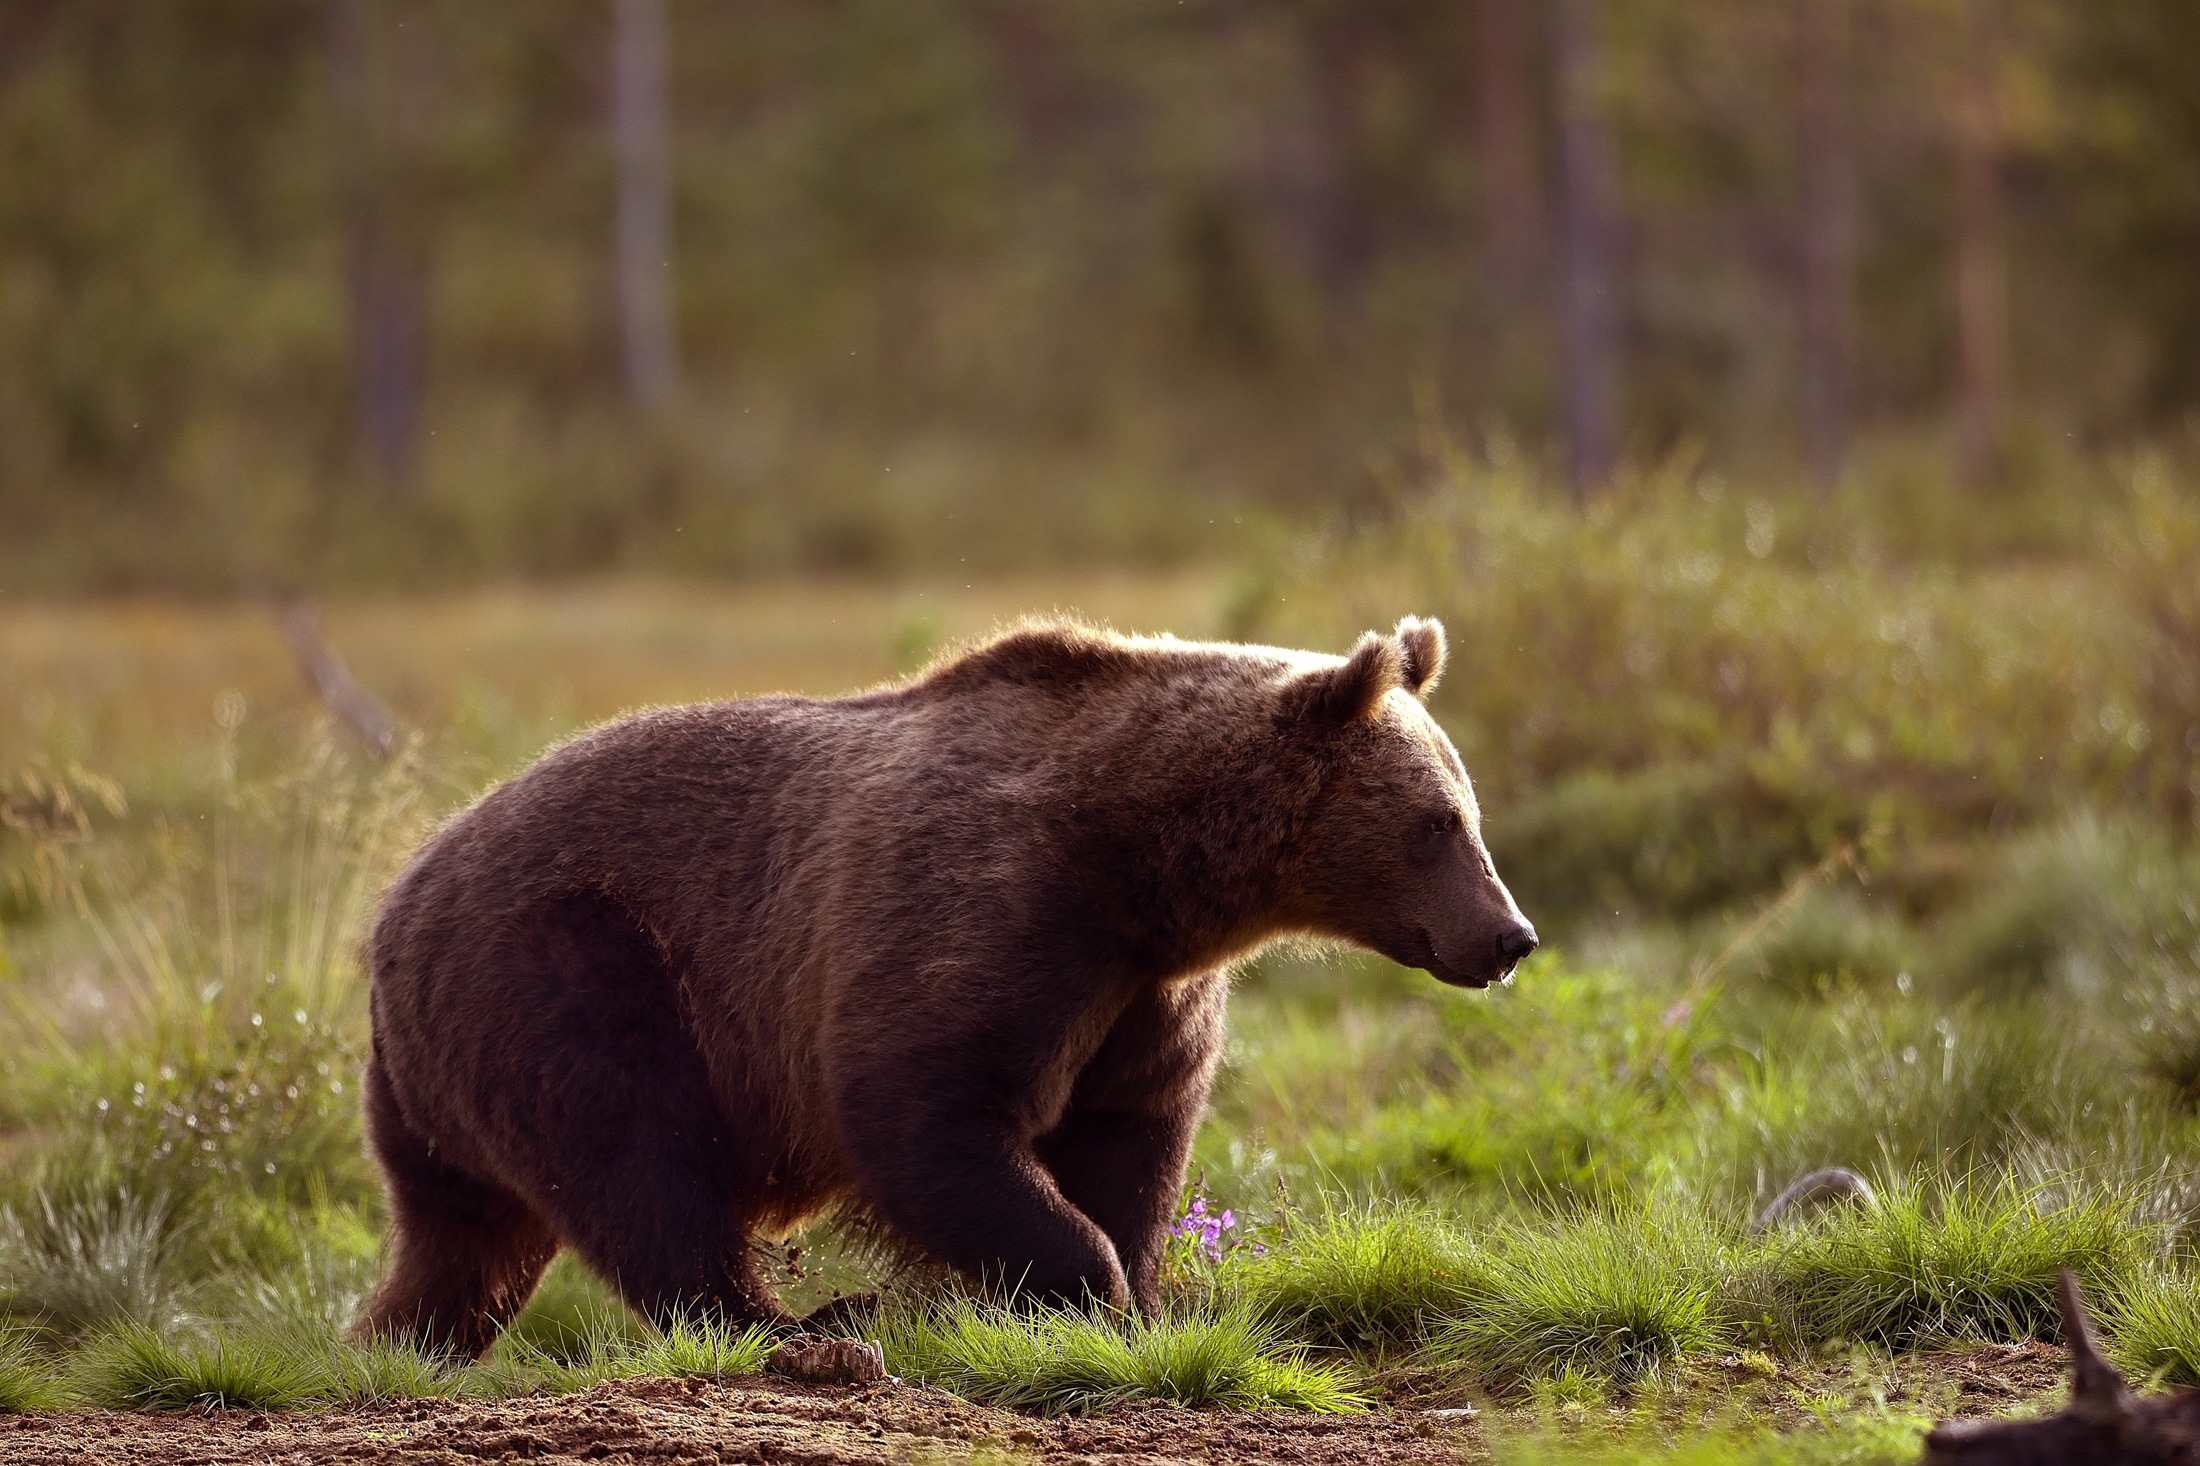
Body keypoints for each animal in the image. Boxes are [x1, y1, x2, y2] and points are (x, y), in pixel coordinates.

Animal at [356, 616, 1536, 1357]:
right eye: (1438, 821)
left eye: (1466, 807)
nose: (1509, 934)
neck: (1146, 868)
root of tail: (394, 901)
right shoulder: (992, 915)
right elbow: (929, 1111)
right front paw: (1087, 1289)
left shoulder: (1140, 995)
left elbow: (1131, 1140)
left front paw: (1142, 1293)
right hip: (571, 966)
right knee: (640, 1163)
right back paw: (800, 1326)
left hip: (442, 1075)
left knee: (468, 1236)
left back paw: (396, 1339)